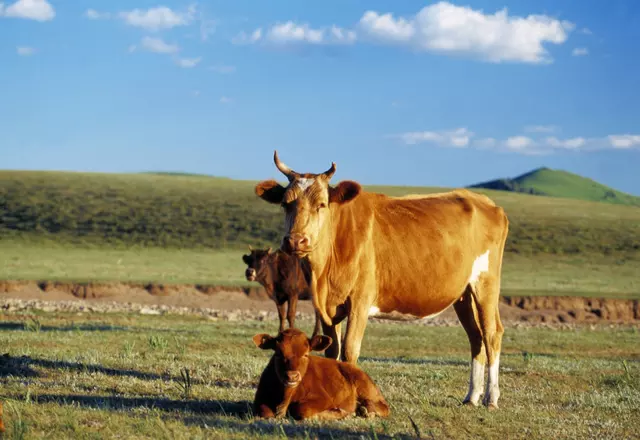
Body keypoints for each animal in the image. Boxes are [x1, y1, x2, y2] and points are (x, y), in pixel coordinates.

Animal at [250, 328, 390, 422]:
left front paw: (341, 413)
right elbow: (265, 412)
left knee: (383, 407)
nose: (292, 376)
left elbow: (301, 409)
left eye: (306, 354)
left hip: (366, 388)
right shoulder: (260, 400)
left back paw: (367, 411)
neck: (284, 399)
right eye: (278, 353)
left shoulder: (324, 399)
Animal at [255, 150, 510, 410]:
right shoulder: (327, 308)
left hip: (486, 283)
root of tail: (485, 201)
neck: (323, 273)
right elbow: (332, 350)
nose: (296, 240)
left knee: (491, 334)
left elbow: (350, 349)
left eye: (321, 204)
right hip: (464, 294)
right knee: (476, 337)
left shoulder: (360, 301)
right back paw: (472, 397)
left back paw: (491, 398)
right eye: (286, 204)